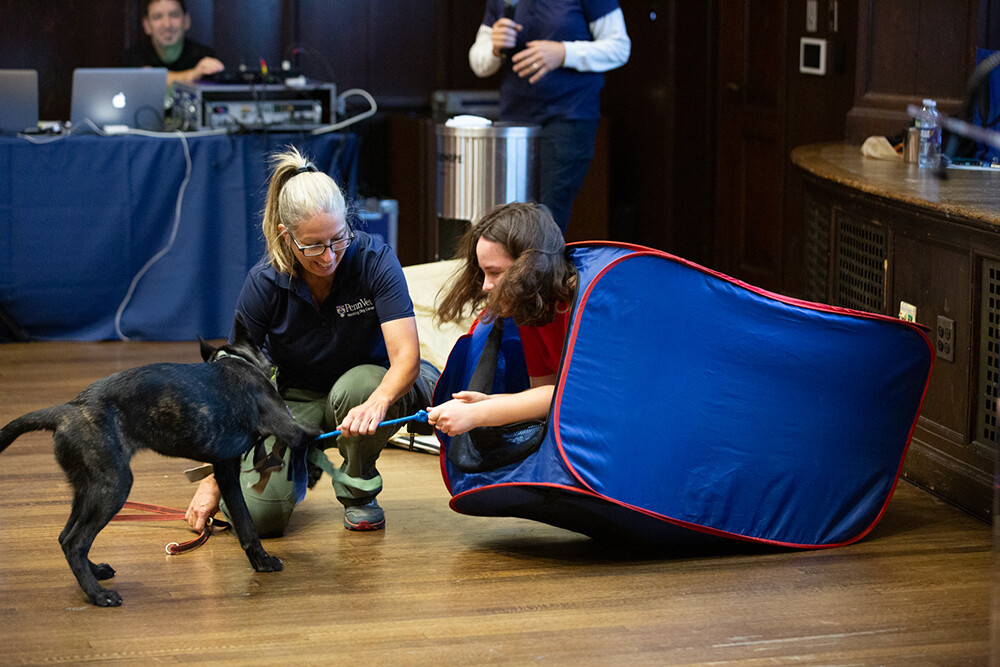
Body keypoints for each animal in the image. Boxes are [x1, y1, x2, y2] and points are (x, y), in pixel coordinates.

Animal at [0, 316, 316, 608]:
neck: (238, 361)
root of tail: (65, 411)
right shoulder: (291, 430)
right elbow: (311, 440)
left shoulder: (226, 471)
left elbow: (245, 523)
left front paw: (259, 562)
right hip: (112, 487)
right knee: (75, 542)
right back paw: (98, 594)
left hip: (87, 490)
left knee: (66, 536)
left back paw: (95, 572)